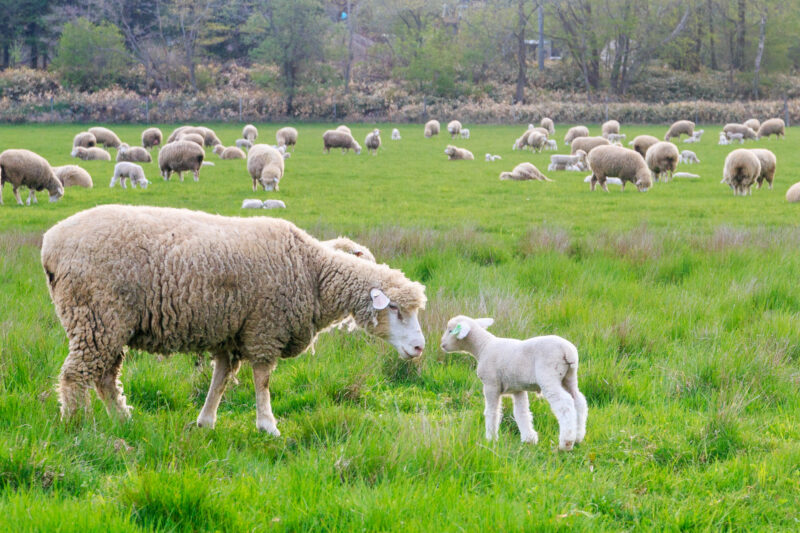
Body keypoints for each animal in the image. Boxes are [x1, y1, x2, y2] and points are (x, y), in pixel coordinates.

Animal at [42, 206, 432, 434]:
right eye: (395, 309)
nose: (419, 348)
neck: (312, 272)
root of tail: (51, 242)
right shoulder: (264, 328)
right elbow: (262, 380)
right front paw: (267, 425)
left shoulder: (229, 333)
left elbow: (221, 379)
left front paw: (205, 421)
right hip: (96, 315)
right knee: (76, 375)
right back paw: (76, 425)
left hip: (109, 323)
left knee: (105, 377)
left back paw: (123, 420)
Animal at [440, 314, 584, 450]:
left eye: (450, 330)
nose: (442, 344)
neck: (483, 347)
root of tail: (567, 351)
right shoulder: (517, 388)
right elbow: (521, 413)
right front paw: (529, 439)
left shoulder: (491, 384)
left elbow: (492, 412)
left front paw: (491, 438)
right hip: (569, 377)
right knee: (579, 400)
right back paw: (578, 437)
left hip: (549, 376)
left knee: (565, 403)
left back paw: (566, 443)